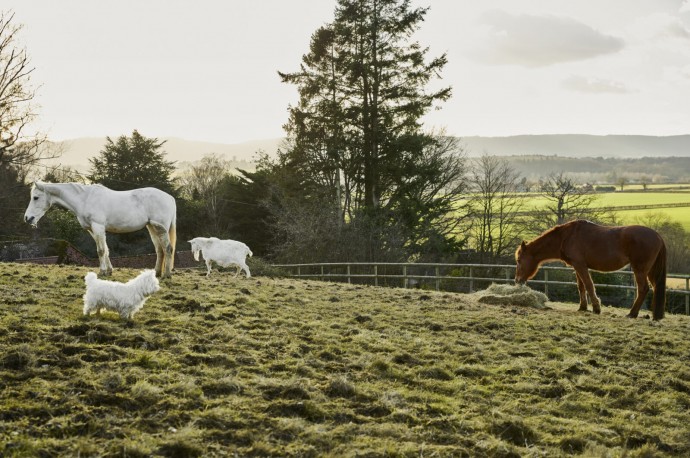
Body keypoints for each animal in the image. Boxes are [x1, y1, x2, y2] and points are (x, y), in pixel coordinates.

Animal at [24, 182, 177, 280]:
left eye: (35, 197)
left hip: (160, 227)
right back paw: (156, 273)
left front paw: (102, 272)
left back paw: (166, 275)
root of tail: (170, 198)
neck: (84, 199)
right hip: (152, 227)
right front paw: (109, 271)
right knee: (160, 250)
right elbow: (106, 249)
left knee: (168, 248)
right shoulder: (93, 230)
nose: (28, 218)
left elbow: (101, 250)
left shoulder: (98, 227)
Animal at [512, 220, 664, 320]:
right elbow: (581, 286)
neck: (566, 237)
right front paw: (583, 307)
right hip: (649, 271)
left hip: (640, 270)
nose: (517, 280)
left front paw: (596, 308)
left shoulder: (580, 265)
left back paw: (632, 313)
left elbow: (589, 285)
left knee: (643, 289)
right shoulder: (577, 266)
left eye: (519, 260)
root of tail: (657, 235)